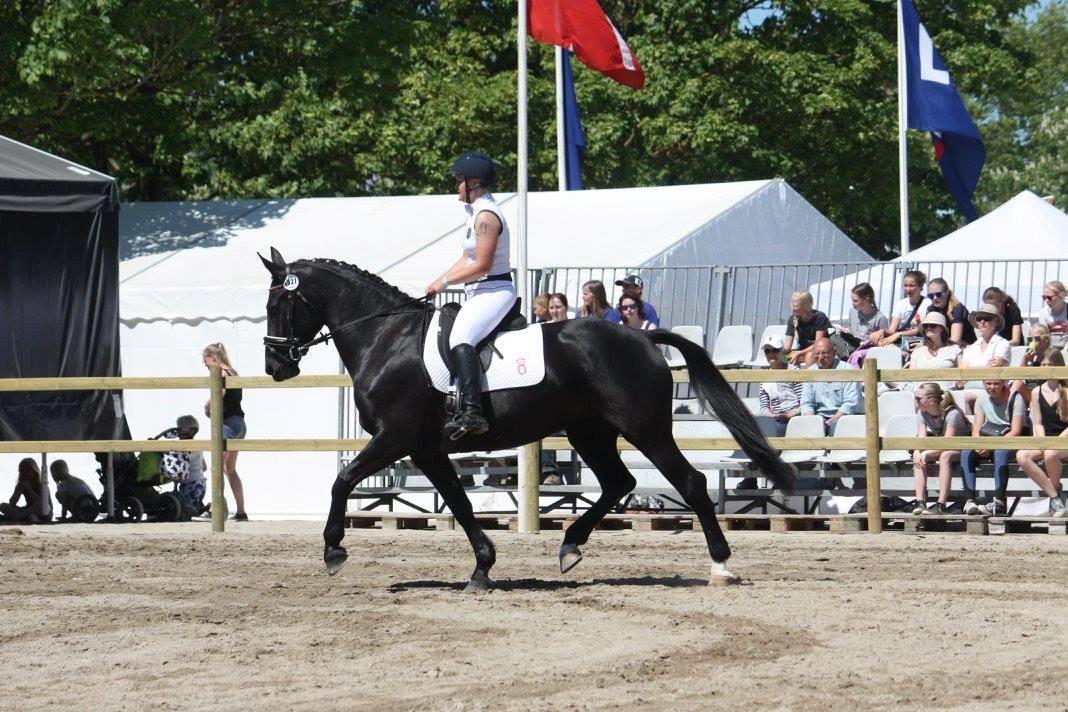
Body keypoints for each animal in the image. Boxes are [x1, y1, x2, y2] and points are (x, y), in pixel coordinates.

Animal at [258, 250, 794, 589]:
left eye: (279, 303)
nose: (275, 366)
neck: (386, 339)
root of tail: (641, 337)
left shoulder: (396, 437)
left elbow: (343, 480)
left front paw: (333, 551)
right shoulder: (426, 448)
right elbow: (459, 503)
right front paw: (482, 569)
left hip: (644, 429)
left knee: (690, 482)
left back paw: (721, 566)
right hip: (589, 431)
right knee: (618, 482)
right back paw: (570, 546)